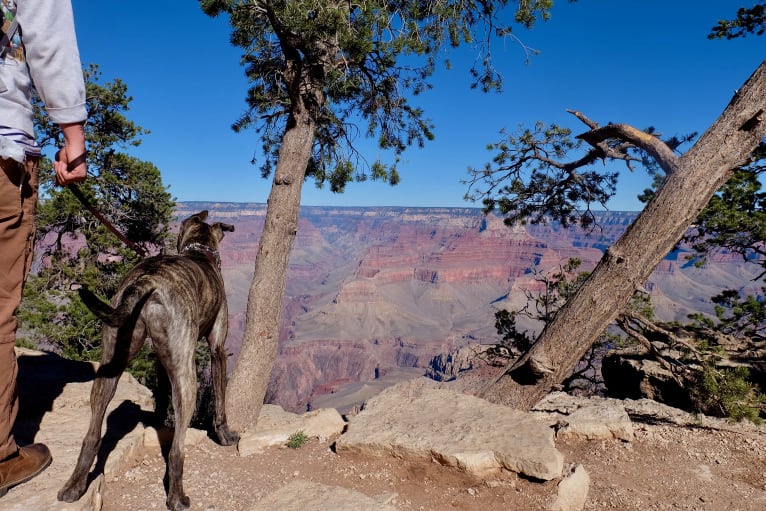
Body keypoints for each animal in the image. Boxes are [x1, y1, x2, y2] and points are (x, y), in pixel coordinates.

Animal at [59, 211, 240, 511]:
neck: (200, 251)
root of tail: (146, 282)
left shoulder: (161, 357)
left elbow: (162, 394)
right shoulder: (217, 349)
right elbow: (220, 401)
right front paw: (225, 436)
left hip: (111, 361)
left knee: (92, 434)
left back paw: (74, 486)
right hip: (186, 375)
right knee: (177, 450)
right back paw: (177, 497)